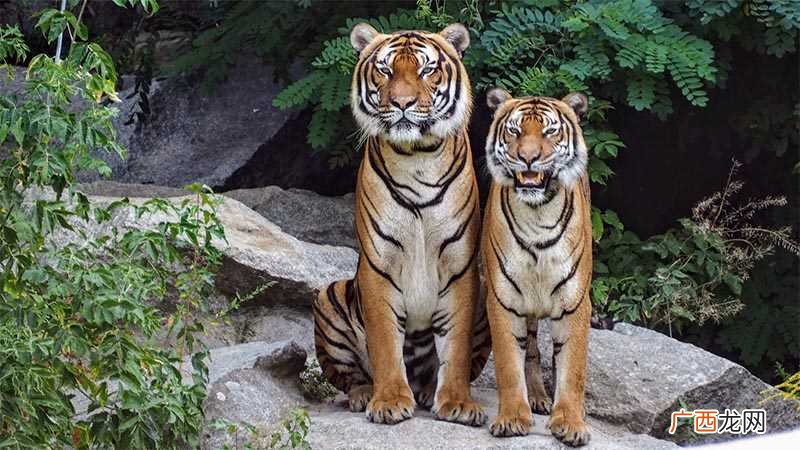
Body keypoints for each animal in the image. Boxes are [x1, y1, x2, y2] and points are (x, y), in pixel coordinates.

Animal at [312, 22, 491, 427]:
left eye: (426, 70)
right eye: (385, 69)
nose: (403, 103)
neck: (417, 157)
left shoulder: (460, 267)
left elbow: (455, 348)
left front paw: (457, 402)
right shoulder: (379, 265)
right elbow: (384, 342)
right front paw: (390, 400)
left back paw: (427, 391)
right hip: (329, 295)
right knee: (349, 376)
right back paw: (365, 394)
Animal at [480, 88, 593, 446]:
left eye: (549, 131)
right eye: (515, 131)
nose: (528, 158)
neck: (537, 215)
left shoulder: (575, 303)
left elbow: (572, 369)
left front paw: (570, 423)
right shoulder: (502, 300)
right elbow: (508, 364)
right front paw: (512, 418)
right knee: (530, 350)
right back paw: (537, 397)